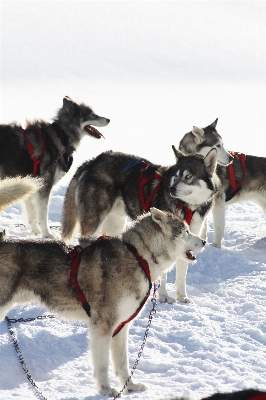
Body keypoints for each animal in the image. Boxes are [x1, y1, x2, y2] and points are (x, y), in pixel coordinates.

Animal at [0, 96, 109, 241]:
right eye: (92, 115)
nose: (108, 119)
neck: (61, 136)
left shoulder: (30, 182)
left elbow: (32, 214)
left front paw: (35, 233)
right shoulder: (45, 186)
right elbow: (42, 215)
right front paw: (47, 234)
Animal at [0, 208, 206, 396]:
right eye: (186, 231)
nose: (204, 241)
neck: (139, 257)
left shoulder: (121, 327)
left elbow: (122, 363)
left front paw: (130, 387)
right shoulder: (103, 327)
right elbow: (103, 365)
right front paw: (106, 390)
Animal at [61, 148, 219, 304]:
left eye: (188, 176)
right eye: (176, 176)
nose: (172, 189)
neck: (186, 206)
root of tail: (92, 161)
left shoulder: (188, 238)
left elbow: (182, 271)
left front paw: (181, 296)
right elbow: (163, 274)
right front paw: (164, 296)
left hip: (116, 223)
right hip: (94, 221)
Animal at [179, 117, 266, 247]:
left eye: (222, 145)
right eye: (217, 145)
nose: (231, 158)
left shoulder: (218, 201)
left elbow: (219, 227)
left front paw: (216, 246)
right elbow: (203, 225)